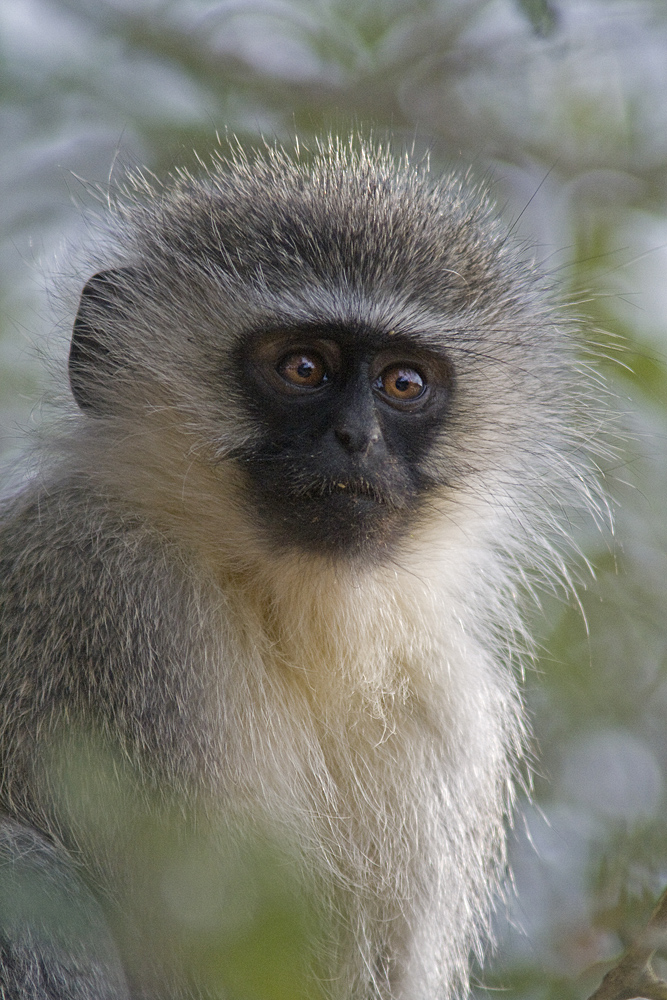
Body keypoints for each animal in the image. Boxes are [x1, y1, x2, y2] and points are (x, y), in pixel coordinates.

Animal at [0, 139, 600, 1000]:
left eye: (403, 383)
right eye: (303, 368)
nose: (355, 439)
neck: (285, 608)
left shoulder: (440, 701)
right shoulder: (121, 598)